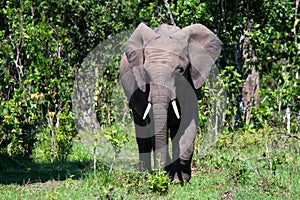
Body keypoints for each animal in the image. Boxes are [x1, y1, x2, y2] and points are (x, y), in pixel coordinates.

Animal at [119, 22, 220, 181]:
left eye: (180, 70)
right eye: (145, 72)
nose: (160, 174)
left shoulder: (191, 82)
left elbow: (188, 122)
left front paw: (181, 178)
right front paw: (166, 176)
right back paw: (146, 173)